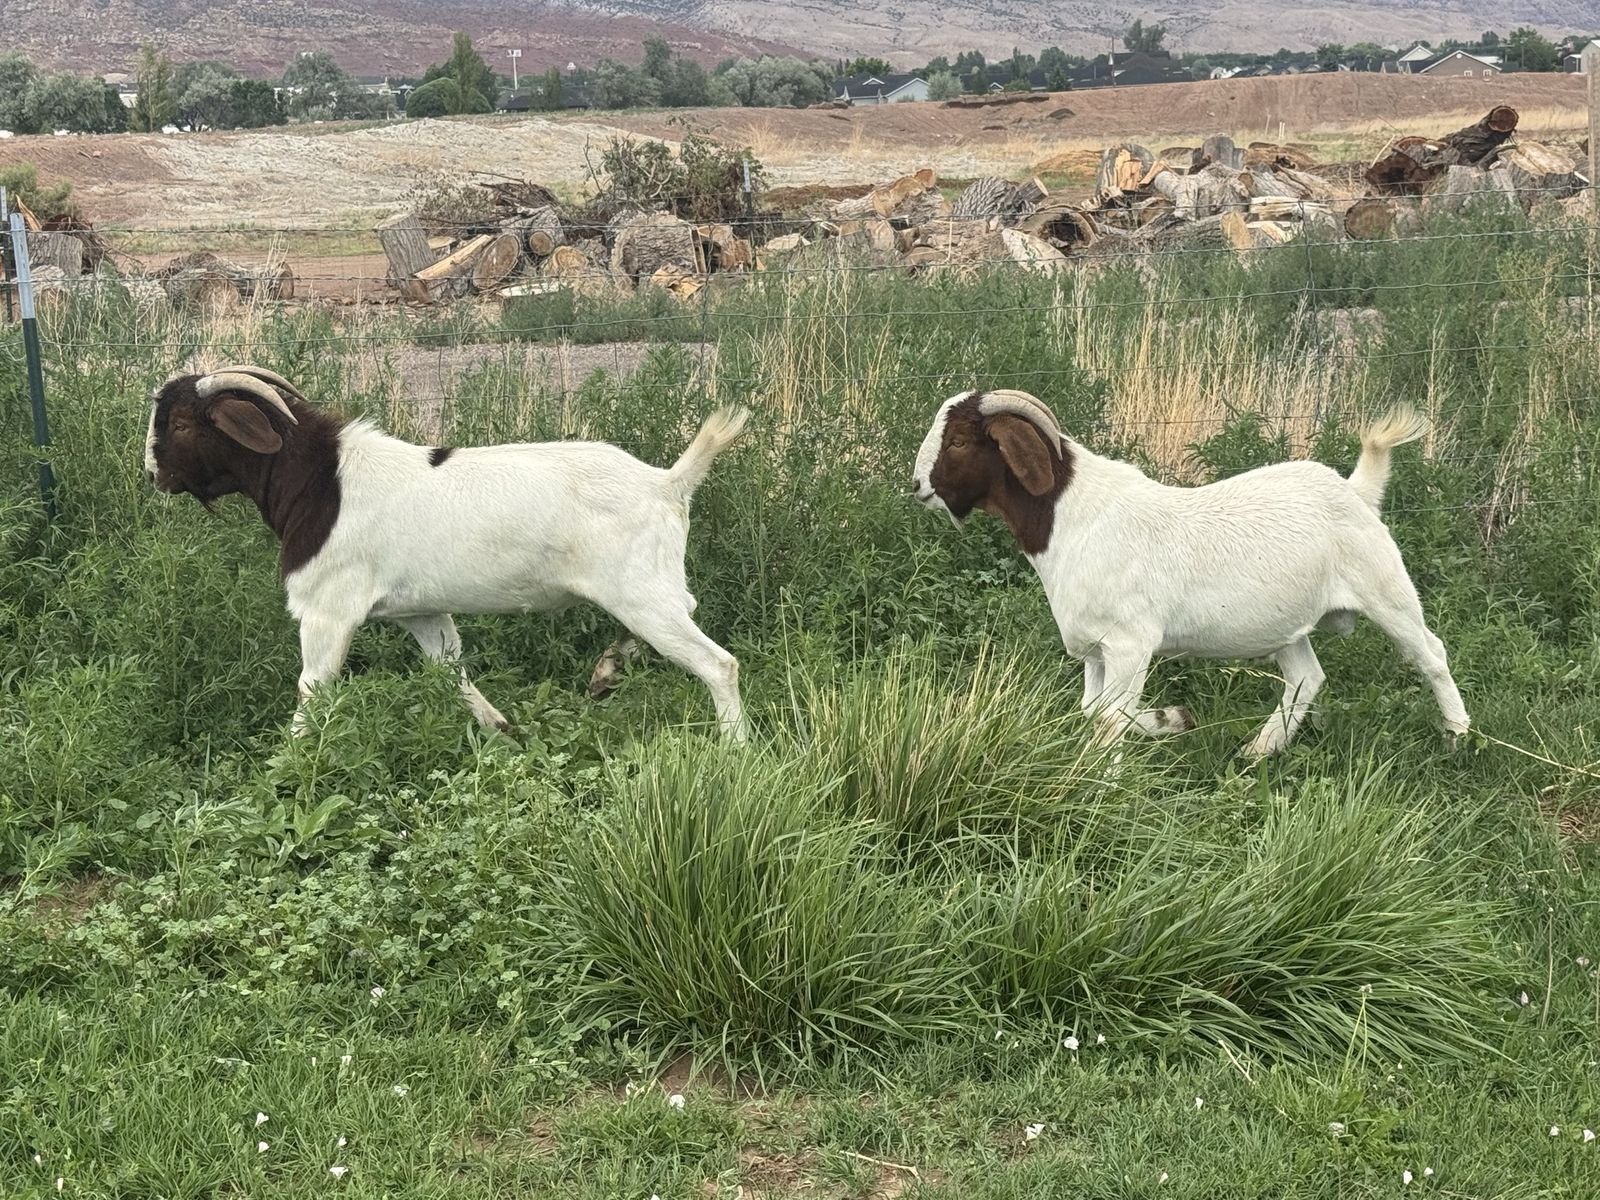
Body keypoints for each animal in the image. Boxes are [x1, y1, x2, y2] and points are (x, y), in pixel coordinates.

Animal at [144, 364, 749, 739]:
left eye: (181, 423)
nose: (154, 474)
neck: (321, 483)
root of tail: (668, 483)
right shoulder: (422, 611)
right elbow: (450, 672)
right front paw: (504, 731)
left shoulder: (327, 610)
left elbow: (312, 691)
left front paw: (284, 770)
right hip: (649, 587)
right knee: (684, 615)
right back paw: (606, 672)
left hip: (639, 590)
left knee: (718, 664)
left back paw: (734, 751)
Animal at [911, 389, 1469, 756]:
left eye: (958, 441)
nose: (916, 485)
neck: (1071, 515)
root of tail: (1356, 490)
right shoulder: (1093, 649)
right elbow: (1093, 712)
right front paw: (1161, 726)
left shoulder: (1130, 643)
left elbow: (1110, 718)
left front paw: (1121, 763)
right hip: (1286, 626)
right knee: (1307, 678)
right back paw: (1259, 750)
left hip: (1386, 590)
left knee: (1431, 654)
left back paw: (1458, 735)